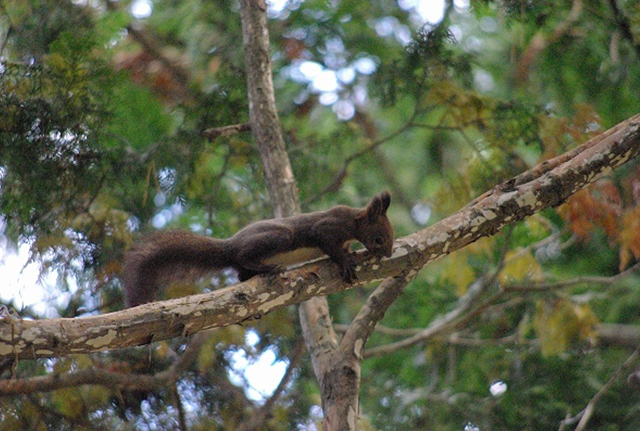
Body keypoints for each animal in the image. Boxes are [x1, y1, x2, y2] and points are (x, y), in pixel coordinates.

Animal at [122, 192, 392, 308]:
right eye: (379, 238)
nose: (388, 254)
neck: (354, 222)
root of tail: (230, 246)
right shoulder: (328, 227)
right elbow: (327, 242)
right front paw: (345, 261)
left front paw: (350, 254)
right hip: (280, 236)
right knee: (245, 257)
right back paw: (268, 267)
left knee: (241, 273)